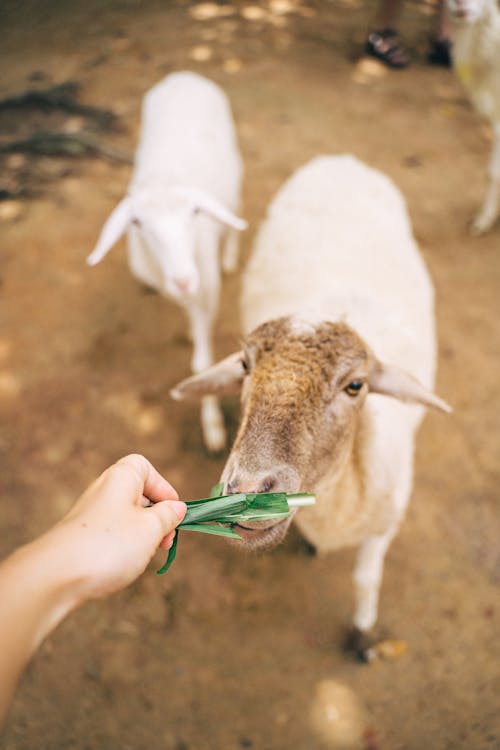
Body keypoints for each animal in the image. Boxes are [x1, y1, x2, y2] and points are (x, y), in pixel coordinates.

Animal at [89, 72, 248, 452]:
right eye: (137, 223)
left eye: (194, 212)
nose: (184, 279)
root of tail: (184, 76)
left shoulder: (209, 288)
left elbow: (203, 362)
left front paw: (212, 427)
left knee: (235, 212)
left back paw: (230, 255)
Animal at [170, 157, 452, 656]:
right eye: (244, 365)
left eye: (356, 385)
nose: (249, 490)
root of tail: (342, 159)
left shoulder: (385, 525)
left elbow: (365, 580)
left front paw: (362, 632)